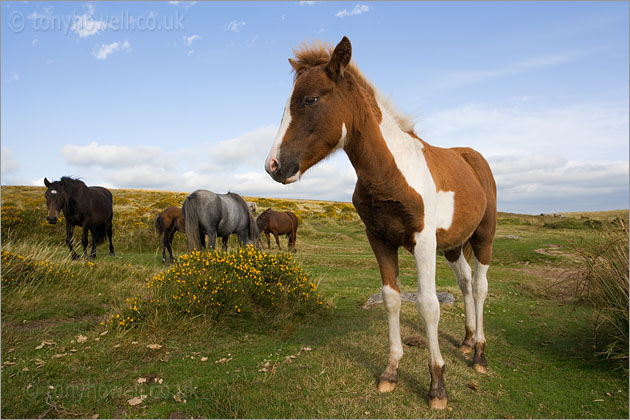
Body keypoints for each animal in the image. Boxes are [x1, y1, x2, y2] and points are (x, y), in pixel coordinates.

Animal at [264, 37, 496, 408]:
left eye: (310, 99)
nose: (273, 166)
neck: (389, 172)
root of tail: (472, 157)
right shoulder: (379, 239)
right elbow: (391, 299)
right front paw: (390, 372)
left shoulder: (423, 241)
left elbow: (429, 305)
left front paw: (437, 385)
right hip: (453, 245)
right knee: (464, 282)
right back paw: (466, 341)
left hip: (483, 237)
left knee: (479, 287)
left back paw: (479, 355)